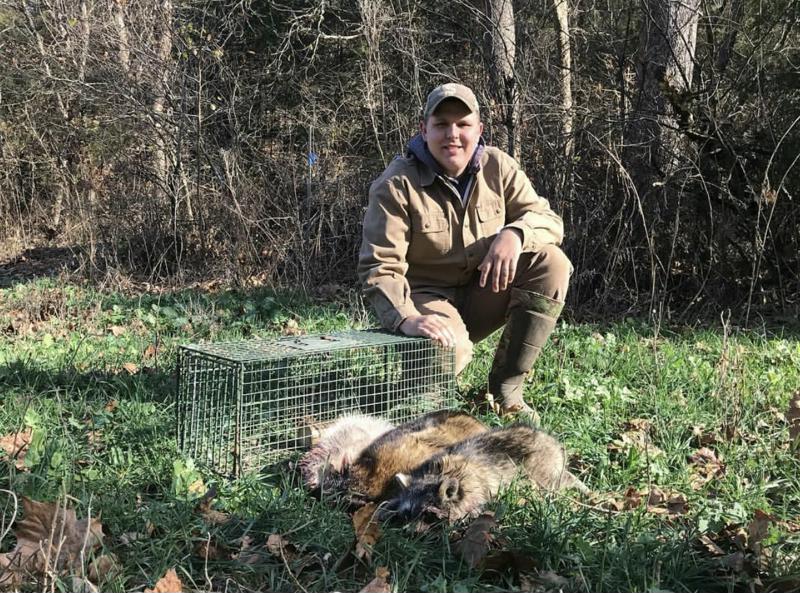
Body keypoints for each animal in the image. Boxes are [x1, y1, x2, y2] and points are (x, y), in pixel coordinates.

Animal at [382, 424, 588, 520]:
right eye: (406, 513)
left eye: (427, 515)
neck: (438, 474)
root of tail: (551, 441)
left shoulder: (478, 490)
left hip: (543, 467)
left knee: (556, 482)